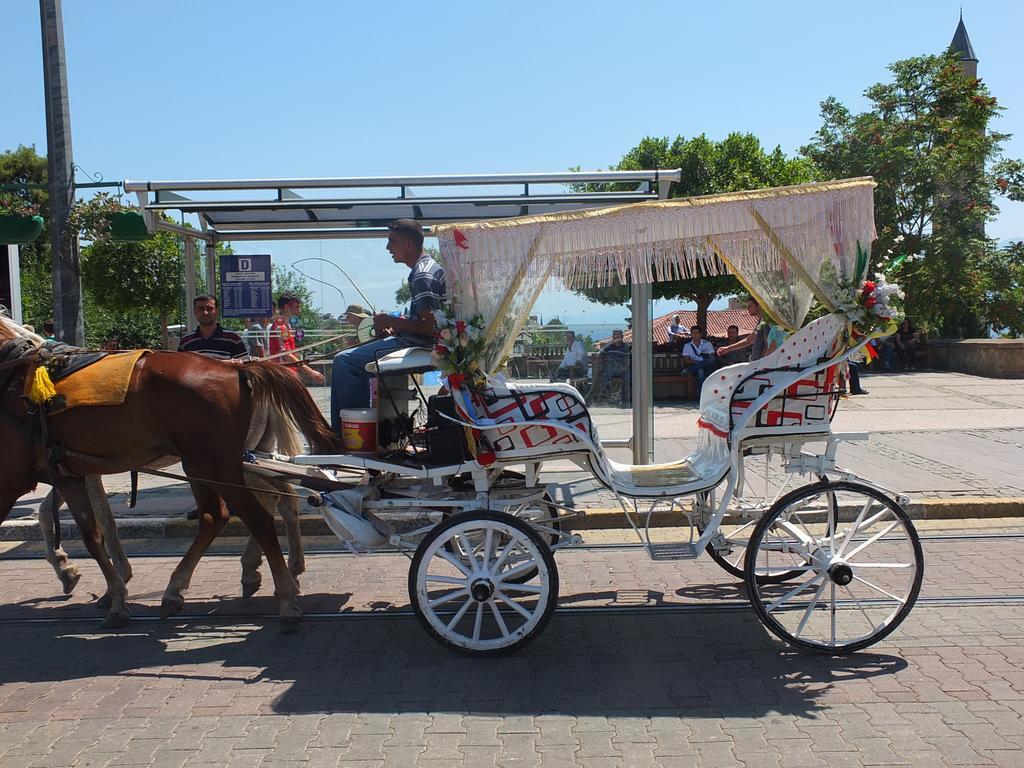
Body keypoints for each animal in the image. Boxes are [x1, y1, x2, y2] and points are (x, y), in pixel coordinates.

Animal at [0, 315, 344, 626]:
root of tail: (240, 368)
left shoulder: (26, 479)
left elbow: (96, 523)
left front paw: (106, 582)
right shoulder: (69, 472)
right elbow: (81, 527)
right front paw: (88, 579)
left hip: (214, 463)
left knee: (259, 512)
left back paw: (280, 590)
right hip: (222, 461)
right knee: (257, 505)